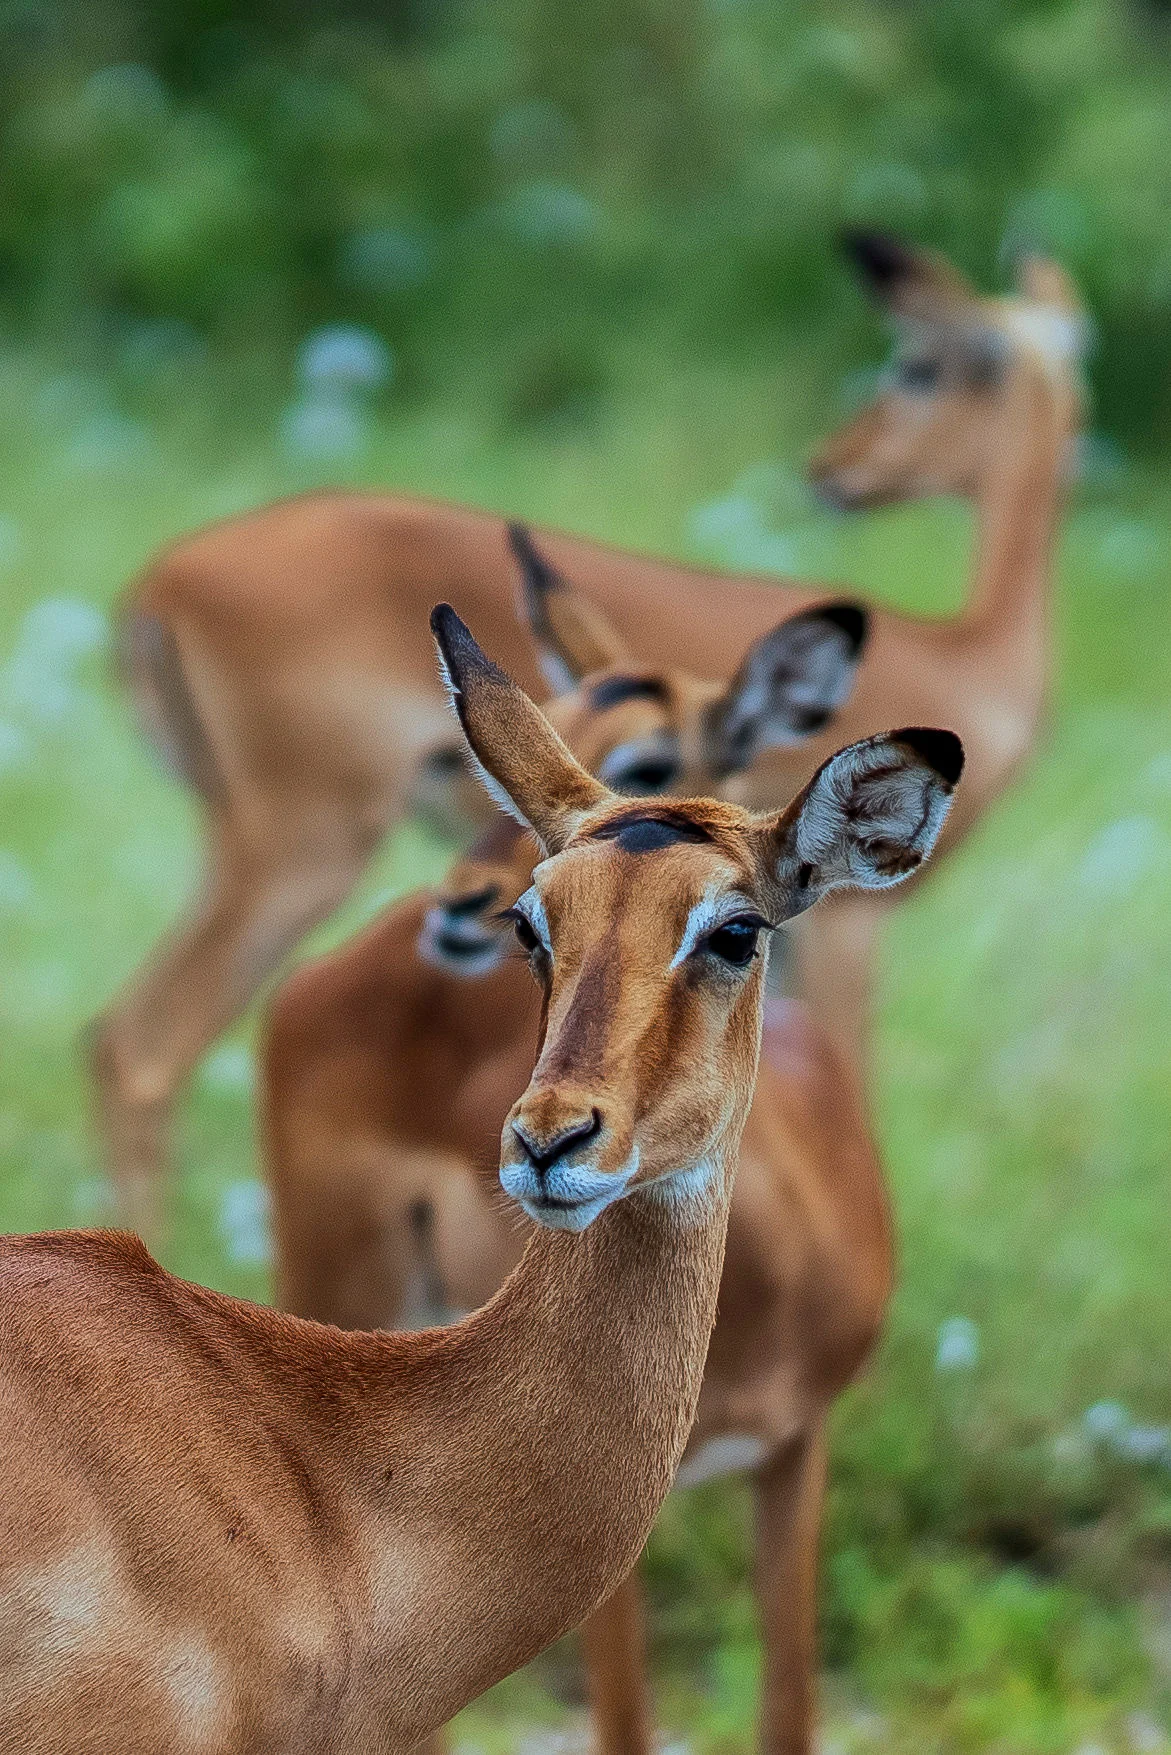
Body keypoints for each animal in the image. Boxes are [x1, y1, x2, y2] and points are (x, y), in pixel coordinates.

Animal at [89, 231, 1080, 1224]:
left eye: (915, 365)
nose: (830, 470)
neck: (973, 656)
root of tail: (157, 584)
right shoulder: (850, 933)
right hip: (298, 847)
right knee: (141, 1048)